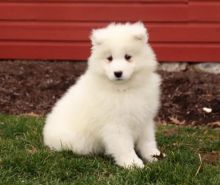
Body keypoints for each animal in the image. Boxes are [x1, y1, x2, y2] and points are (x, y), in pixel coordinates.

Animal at [43, 22, 162, 168]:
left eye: (128, 57)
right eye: (109, 58)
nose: (118, 73)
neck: (124, 90)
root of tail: (46, 134)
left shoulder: (144, 119)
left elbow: (148, 141)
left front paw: (154, 155)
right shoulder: (115, 125)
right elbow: (124, 146)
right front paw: (132, 163)